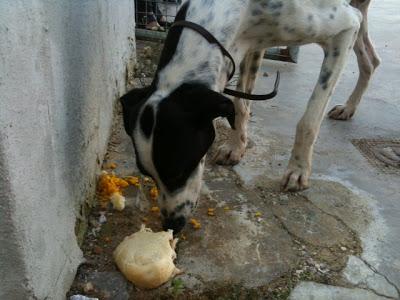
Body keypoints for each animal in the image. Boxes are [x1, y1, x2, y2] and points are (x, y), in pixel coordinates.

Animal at [121, 0, 378, 233]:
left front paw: (298, 169)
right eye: (147, 174)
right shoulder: (250, 46)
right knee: (371, 61)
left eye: (179, 172)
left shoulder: (346, 28)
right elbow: (240, 104)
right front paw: (236, 147)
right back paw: (348, 108)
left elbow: (308, 120)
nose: (171, 226)